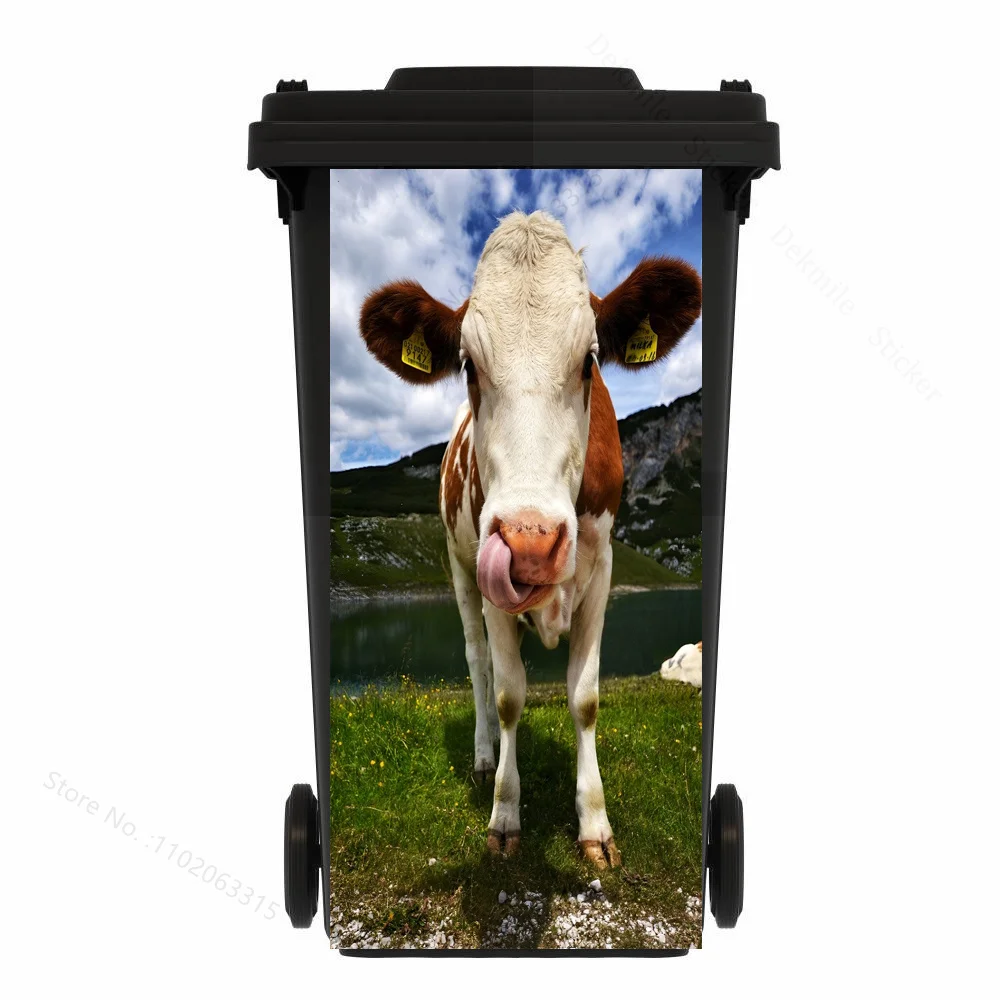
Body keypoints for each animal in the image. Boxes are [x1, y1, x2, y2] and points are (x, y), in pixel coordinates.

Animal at [359, 211, 701, 867]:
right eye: (468, 365)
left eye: (590, 360)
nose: (530, 545)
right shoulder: (487, 579)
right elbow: (510, 694)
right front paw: (504, 813)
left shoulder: (604, 567)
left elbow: (585, 697)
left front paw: (595, 824)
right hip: (459, 567)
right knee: (480, 664)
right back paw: (485, 755)